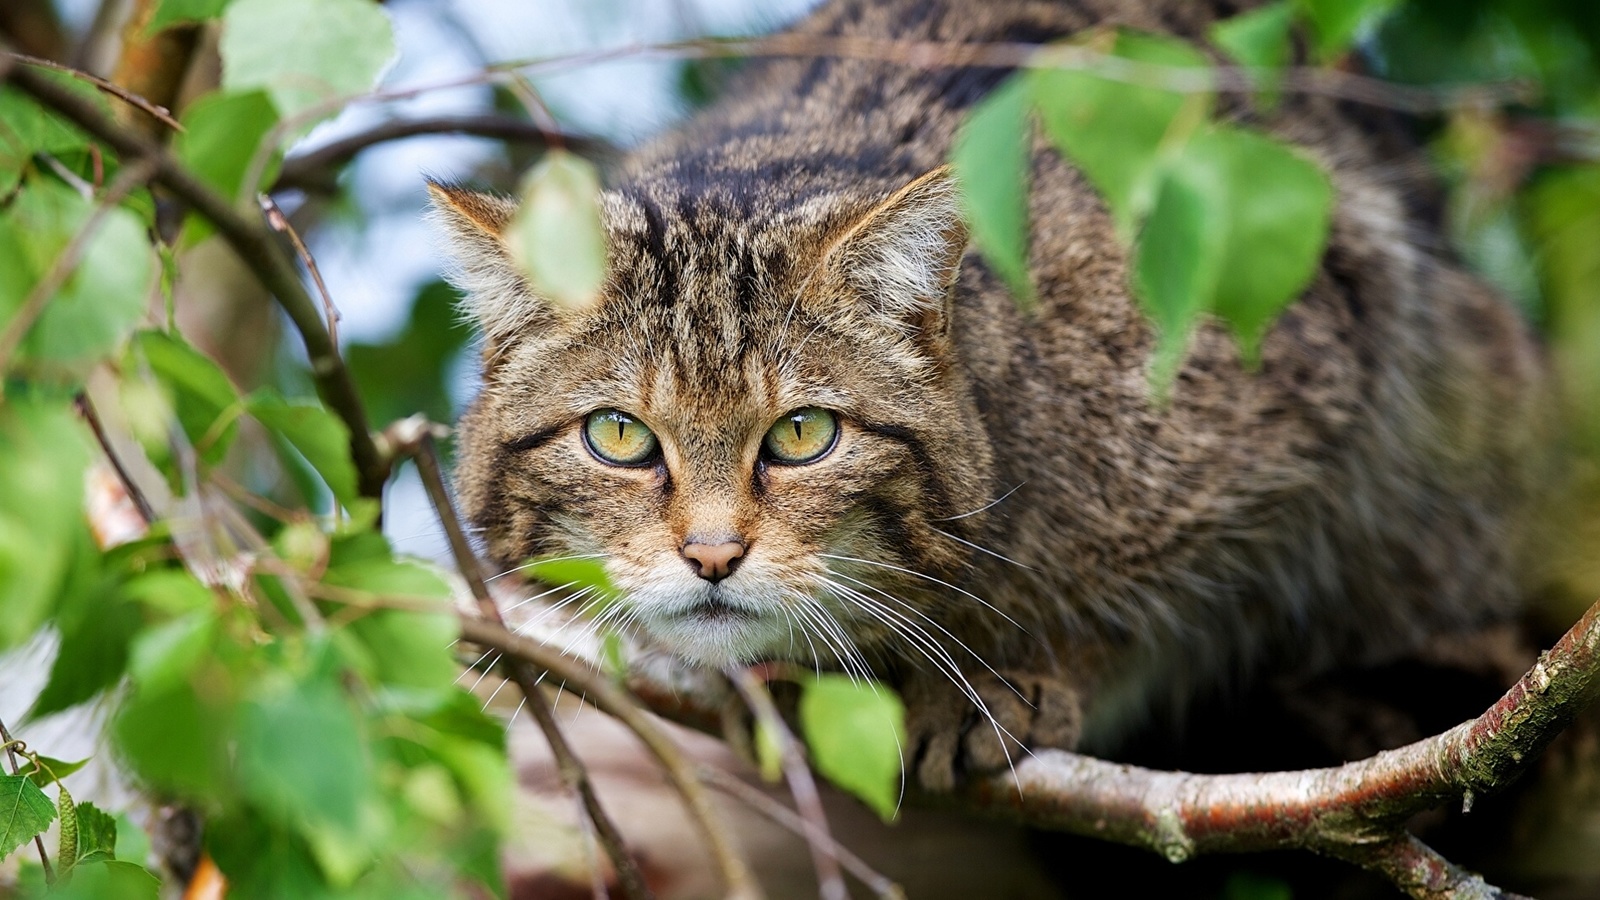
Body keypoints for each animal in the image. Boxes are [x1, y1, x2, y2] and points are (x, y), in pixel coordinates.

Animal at [428, 0, 1548, 784]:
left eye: (802, 435)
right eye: (619, 436)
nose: (710, 556)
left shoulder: (1304, 382)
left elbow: (1168, 607)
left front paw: (1008, 672)